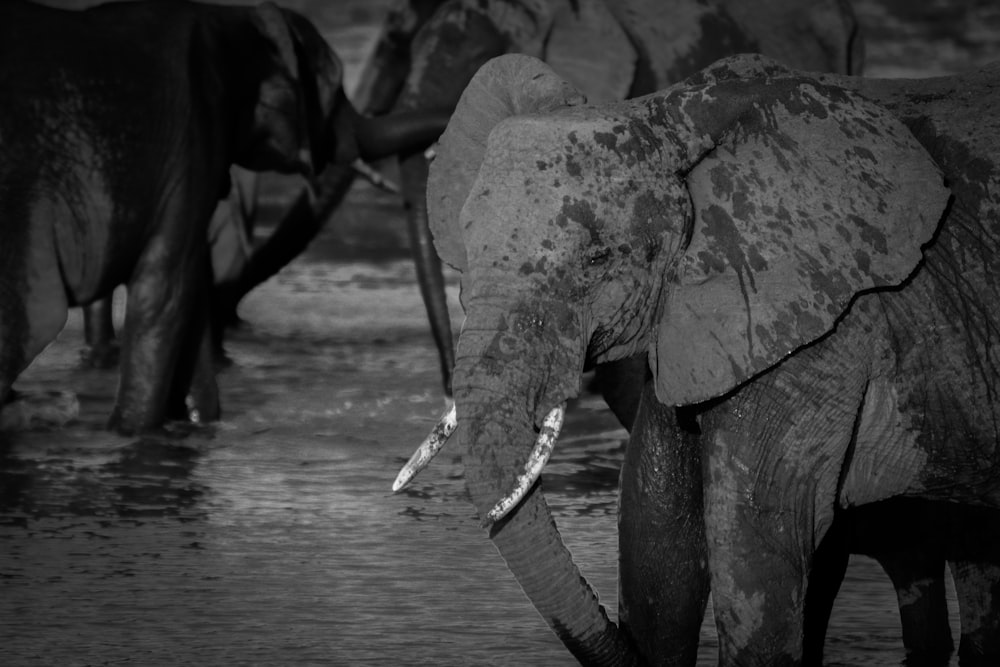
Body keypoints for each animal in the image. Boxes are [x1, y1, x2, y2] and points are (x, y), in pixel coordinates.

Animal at [0, 0, 446, 436]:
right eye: (334, 88)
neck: (229, 15)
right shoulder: (190, 144)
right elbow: (164, 293)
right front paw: (133, 433)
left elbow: (189, 298)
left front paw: (195, 426)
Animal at [390, 53, 1000, 667]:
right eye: (467, 248)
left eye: (597, 258)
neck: (665, 112)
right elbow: (656, 529)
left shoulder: (825, 327)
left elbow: (759, 544)